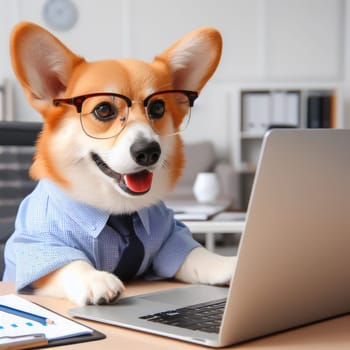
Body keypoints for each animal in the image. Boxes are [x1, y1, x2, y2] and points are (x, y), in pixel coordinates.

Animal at [3, 22, 235, 306]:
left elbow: (195, 254)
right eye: (103, 110)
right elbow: (68, 263)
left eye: (157, 108)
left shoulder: (171, 236)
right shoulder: (36, 244)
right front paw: (96, 279)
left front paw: (227, 264)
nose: (148, 152)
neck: (118, 210)